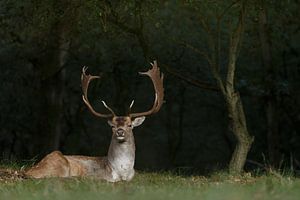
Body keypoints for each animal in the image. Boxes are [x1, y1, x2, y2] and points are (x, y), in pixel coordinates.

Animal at [25, 60, 164, 182]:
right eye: (113, 126)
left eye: (129, 125)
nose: (120, 131)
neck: (122, 173)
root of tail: (28, 171)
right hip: (59, 163)